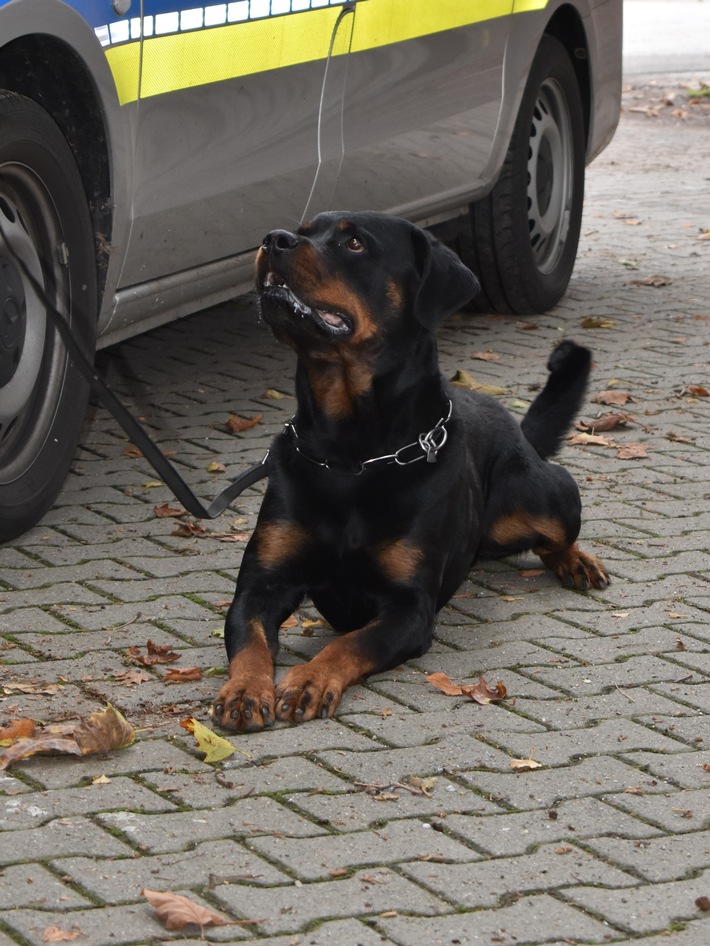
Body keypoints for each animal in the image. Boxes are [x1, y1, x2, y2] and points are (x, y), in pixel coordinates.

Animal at [213, 212, 612, 732]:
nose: (274, 240)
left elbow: (349, 643)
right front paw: (245, 689)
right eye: (303, 230)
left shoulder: (410, 607)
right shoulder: (261, 585)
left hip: (542, 496)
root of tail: (516, 427)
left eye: (355, 243)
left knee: (555, 533)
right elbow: (250, 641)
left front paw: (309, 680)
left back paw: (576, 560)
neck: (350, 456)